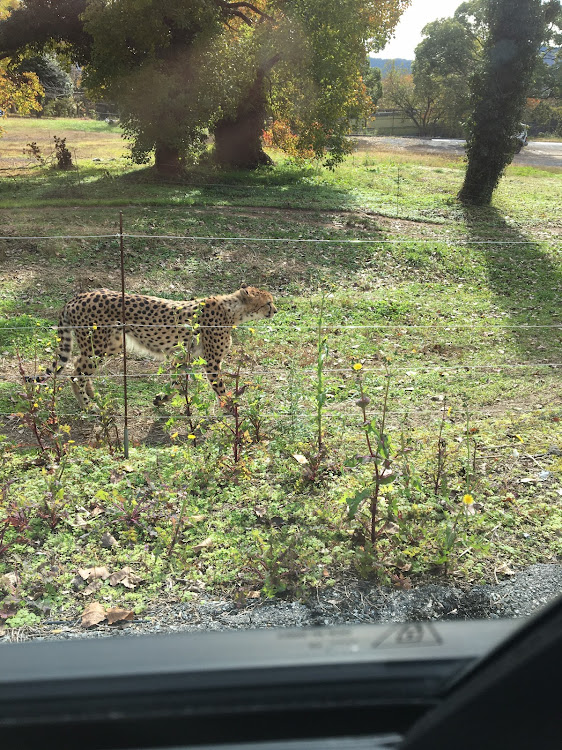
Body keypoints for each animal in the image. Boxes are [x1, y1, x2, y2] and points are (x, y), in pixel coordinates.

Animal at [36, 284, 276, 408]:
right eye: (268, 302)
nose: (276, 310)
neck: (233, 311)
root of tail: (78, 296)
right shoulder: (211, 361)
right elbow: (219, 387)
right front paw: (230, 407)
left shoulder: (184, 357)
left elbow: (177, 383)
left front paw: (161, 399)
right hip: (98, 346)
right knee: (75, 374)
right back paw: (88, 405)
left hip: (111, 344)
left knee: (79, 368)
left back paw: (92, 395)